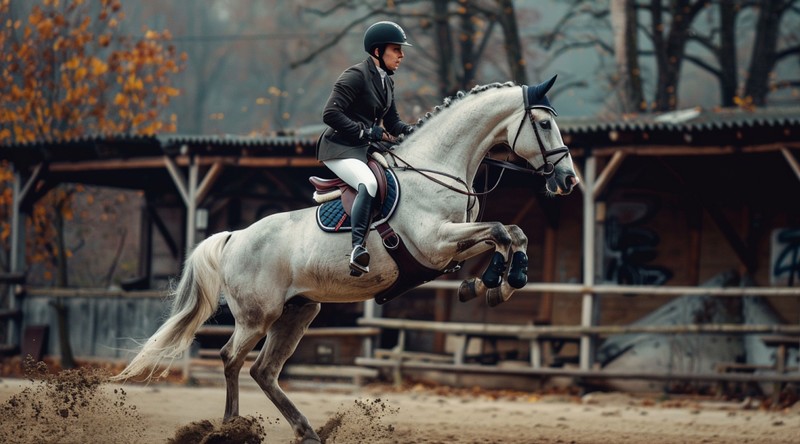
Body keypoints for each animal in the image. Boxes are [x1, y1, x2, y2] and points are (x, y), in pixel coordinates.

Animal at [111, 78, 576, 442]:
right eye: (545, 124)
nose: (568, 180)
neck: (436, 171)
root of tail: (234, 237)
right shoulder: (436, 243)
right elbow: (501, 231)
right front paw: (501, 279)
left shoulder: (449, 248)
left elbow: (510, 234)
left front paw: (490, 284)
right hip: (257, 316)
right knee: (231, 358)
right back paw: (231, 428)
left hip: (298, 312)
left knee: (264, 370)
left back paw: (306, 432)